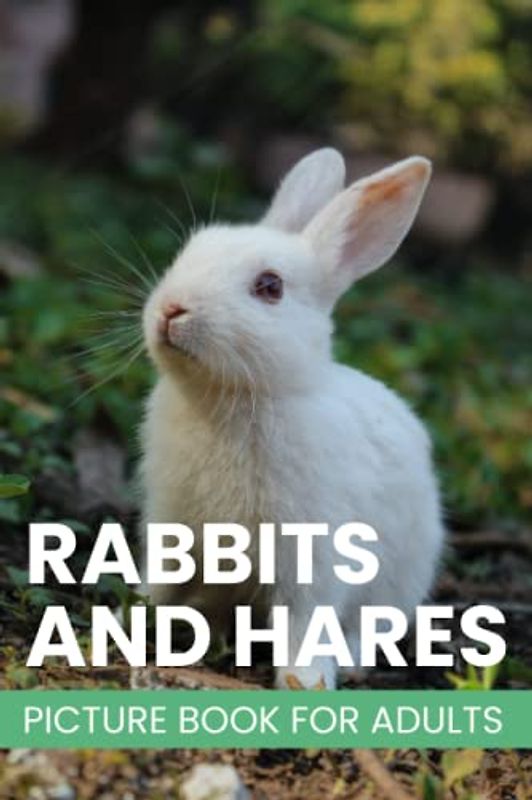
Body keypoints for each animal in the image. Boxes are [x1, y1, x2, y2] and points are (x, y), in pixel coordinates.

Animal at [139, 148, 445, 689]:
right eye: (189, 251)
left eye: (270, 287)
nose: (172, 310)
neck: (234, 398)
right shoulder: (172, 521)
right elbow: (165, 583)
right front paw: (135, 609)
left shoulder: (314, 553)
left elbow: (306, 618)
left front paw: (305, 680)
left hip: (398, 581)